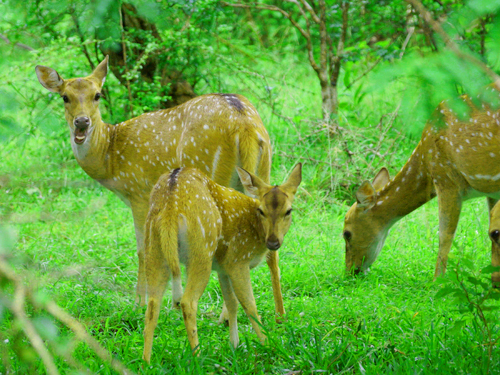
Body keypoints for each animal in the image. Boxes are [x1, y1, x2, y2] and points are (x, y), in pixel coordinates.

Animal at [34, 56, 286, 320]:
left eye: (97, 95)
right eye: (65, 96)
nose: (82, 122)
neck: (111, 158)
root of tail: (244, 125)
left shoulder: (139, 193)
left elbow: (142, 250)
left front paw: (139, 303)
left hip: (213, 172)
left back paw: (225, 318)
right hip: (263, 167)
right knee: (272, 241)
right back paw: (279, 315)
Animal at [143, 165, 302, 364]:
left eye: (288, 210)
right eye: (261, 210)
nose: (273, 242)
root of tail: (170, 207)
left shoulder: (223, 268)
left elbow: (232, 302)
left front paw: (234, 345)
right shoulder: (238, 260)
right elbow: (249, 304)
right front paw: (269, 344)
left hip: (154, 248)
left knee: (152, 303)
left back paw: (145, 362)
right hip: (202, 250)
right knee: (188, 302)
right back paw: (198, 357)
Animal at [346, 94, 500, 280]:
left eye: (346, 234)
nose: (350, 271)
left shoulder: (446, 180)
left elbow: (444, 236)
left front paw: (437, 281)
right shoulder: (489, 188)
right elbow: (492, 228)